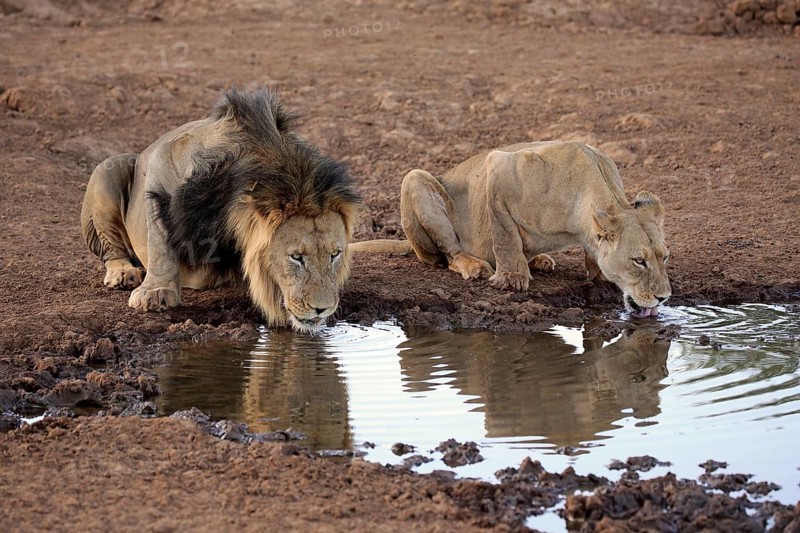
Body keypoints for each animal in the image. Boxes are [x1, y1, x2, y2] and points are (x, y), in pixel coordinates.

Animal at [81, 88, 361, 333]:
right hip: (109, 168)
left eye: (335, 254)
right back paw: (123, 273)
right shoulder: (164, 162)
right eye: (296, 257)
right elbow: (160, 243)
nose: (322, 309)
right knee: (112, 247)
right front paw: (154, 292)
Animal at [351, 142, 671, 318]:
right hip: (415, 178)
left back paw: (539, 260)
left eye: (664, 257)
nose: (664, 298)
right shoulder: (500, 168)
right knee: (448, 255)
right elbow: (505, 235)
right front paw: (511, 279)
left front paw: (598, 272)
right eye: (639, 261)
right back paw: (474, 265)